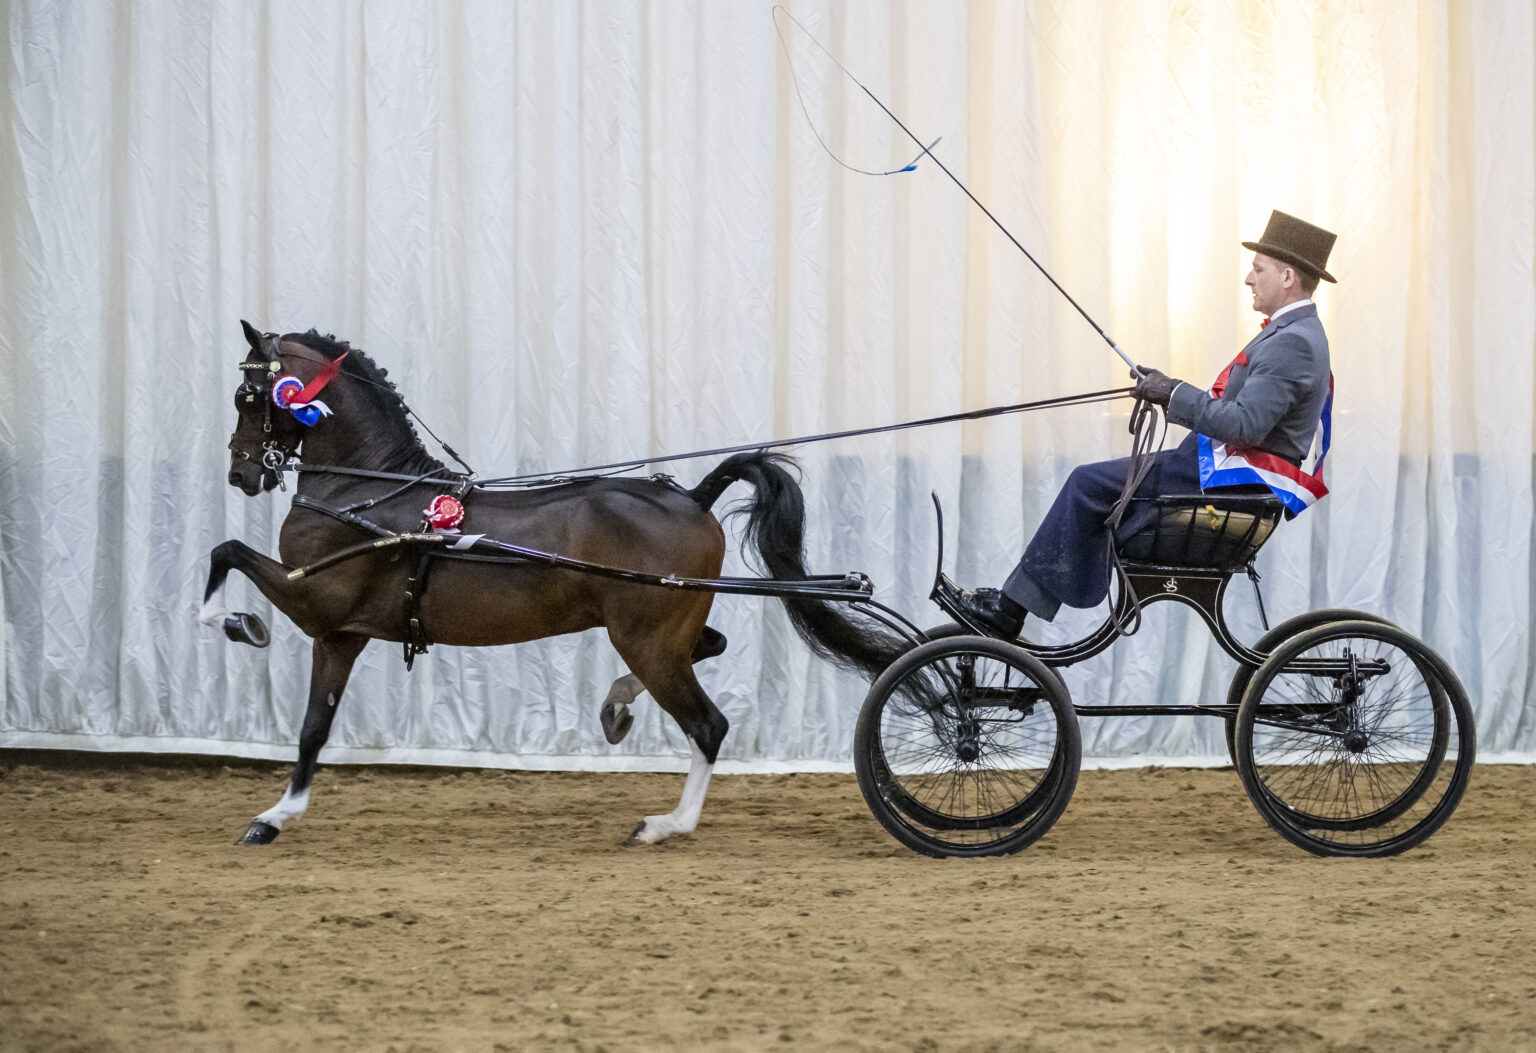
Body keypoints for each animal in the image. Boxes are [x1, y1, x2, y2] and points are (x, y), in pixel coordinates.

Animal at [203, 322, 906, 845]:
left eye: (245, 396)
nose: (242, 473)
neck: (369, 495)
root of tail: (693, 497)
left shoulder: (312, 601)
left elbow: (225, 555)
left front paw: (240, 625)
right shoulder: (342, 633)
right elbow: (314, 728)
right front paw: (277, 816)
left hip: (646, 637)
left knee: (707, 725)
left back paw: (666, 824)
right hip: (660, 630)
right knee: (709, 648)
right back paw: (617, 707)